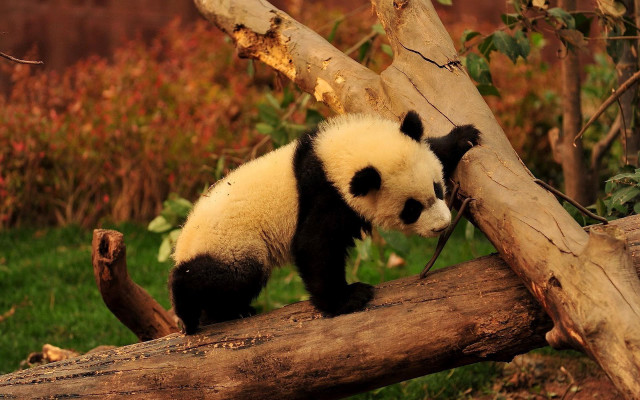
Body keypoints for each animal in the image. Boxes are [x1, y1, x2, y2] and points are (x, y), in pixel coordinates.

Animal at [170, 111, 479, 334]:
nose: (442, 225)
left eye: (437, 188)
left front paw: (464, 137)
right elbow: (314, 245)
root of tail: (182, 244)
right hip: (232, 242)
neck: (334, 155)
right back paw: (190, 311)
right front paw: (348, 298)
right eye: (411, 209)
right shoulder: (326, 194)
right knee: (230, 275)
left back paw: (228, 312)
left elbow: (435, 148)